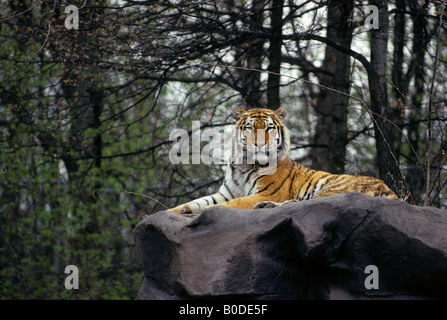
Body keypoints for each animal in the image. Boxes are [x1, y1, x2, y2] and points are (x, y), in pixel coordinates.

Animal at [169, 105, 400, 215]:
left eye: (269, 128)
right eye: (250, 127)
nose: (259, 144)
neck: (244, 163)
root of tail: (387, 188)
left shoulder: (265, 192)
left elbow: (231, 204)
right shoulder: (224, 193)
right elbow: (199, 201)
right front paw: (178, 210)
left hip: (333, 189)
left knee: (307, 204)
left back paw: (265, 206)